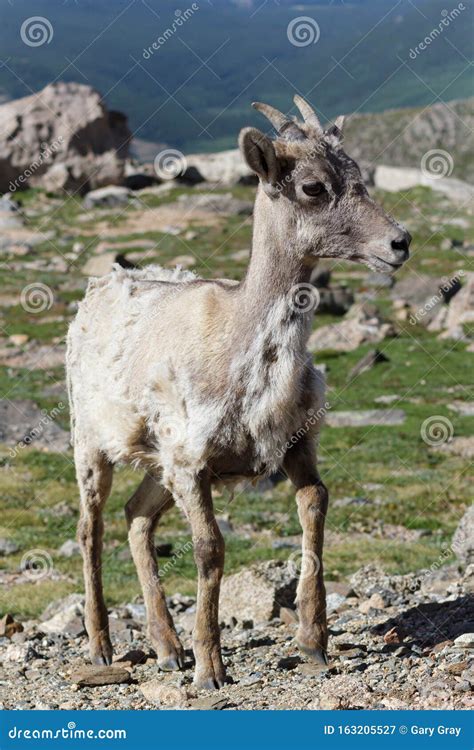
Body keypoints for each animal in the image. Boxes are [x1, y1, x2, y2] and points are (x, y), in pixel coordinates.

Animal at [67, 97, 412, 692]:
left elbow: (315, 506)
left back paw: (167, 649)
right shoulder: (191, 465)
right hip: (91, 446)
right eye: (312, 186)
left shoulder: (293, 446)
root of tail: (96, 291)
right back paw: (104, 648)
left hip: (156, 466)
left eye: (360, 176)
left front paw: (314, 644)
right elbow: (210, 548)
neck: (243, 353)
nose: (399, 243)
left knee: (137, 516)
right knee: (92, 529)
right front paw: (211, 670)